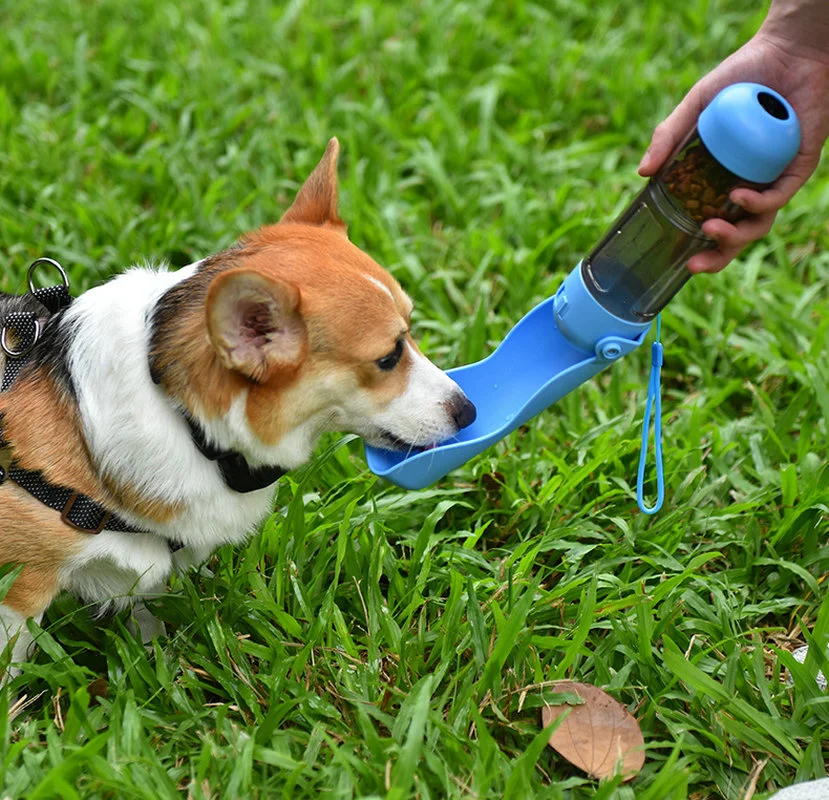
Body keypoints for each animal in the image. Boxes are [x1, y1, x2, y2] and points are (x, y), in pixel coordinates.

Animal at [0, 141, 476, 680]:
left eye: (411, 331)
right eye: (388, 357)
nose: (469, 411)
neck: (178, 412)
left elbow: (147, 619)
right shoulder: (21, 585)